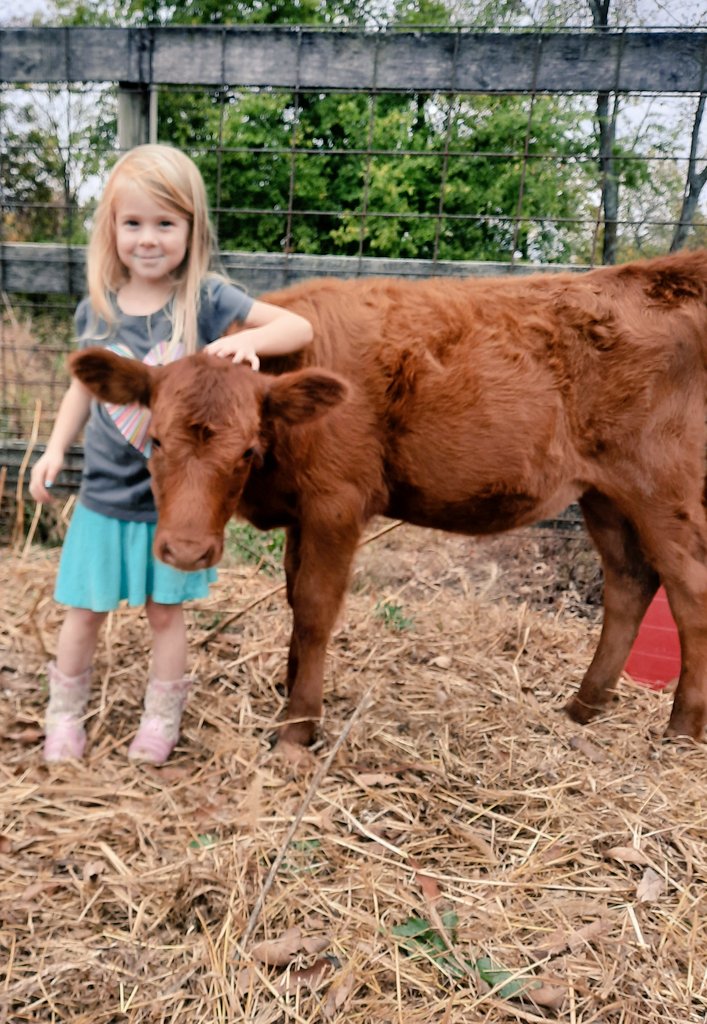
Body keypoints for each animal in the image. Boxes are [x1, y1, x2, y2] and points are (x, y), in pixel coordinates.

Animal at [70, 249, 707, 751]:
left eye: (248, 449)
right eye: (155, 439)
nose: (185, 550)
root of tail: (654, 274)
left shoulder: (336, 502)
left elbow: (315, 610)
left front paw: (297, 727)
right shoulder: (303, 511)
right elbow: (294, 599)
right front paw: (291, 691)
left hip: (662, 490)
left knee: (689, 591)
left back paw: (681, 728)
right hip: (605, 495)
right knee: (629, 583)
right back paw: (583, 707)